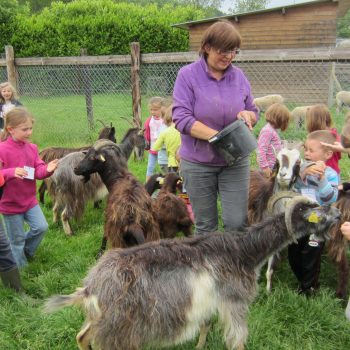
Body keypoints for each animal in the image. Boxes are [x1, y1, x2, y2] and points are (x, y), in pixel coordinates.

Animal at [44, 197, 342, 350]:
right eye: (320, 212)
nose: (339, 213)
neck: (245, 250)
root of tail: (90, 288)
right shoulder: (235, 302)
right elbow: (237, 341)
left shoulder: (210, 301)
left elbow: (206, 325)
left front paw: (199, 347)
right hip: (119, 328)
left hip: (100, 320)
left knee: (82, 337)